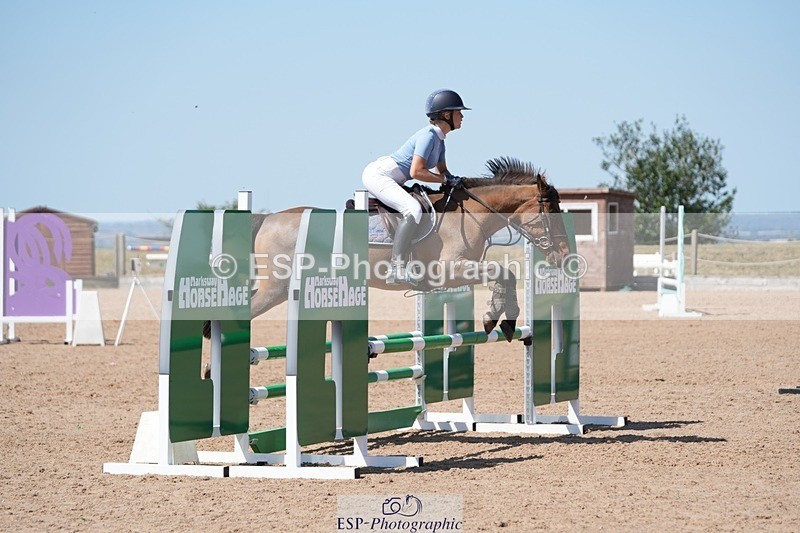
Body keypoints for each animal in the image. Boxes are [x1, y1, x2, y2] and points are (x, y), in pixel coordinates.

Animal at [247, 157, 571, 342]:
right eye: (551, 212)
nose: (565, 256)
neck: (471, 214)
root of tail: (269, 219)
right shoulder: (448, 271)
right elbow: (504, 272)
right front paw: (495, 316)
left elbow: (507, 275)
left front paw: (504, 320)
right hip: (277, 287)